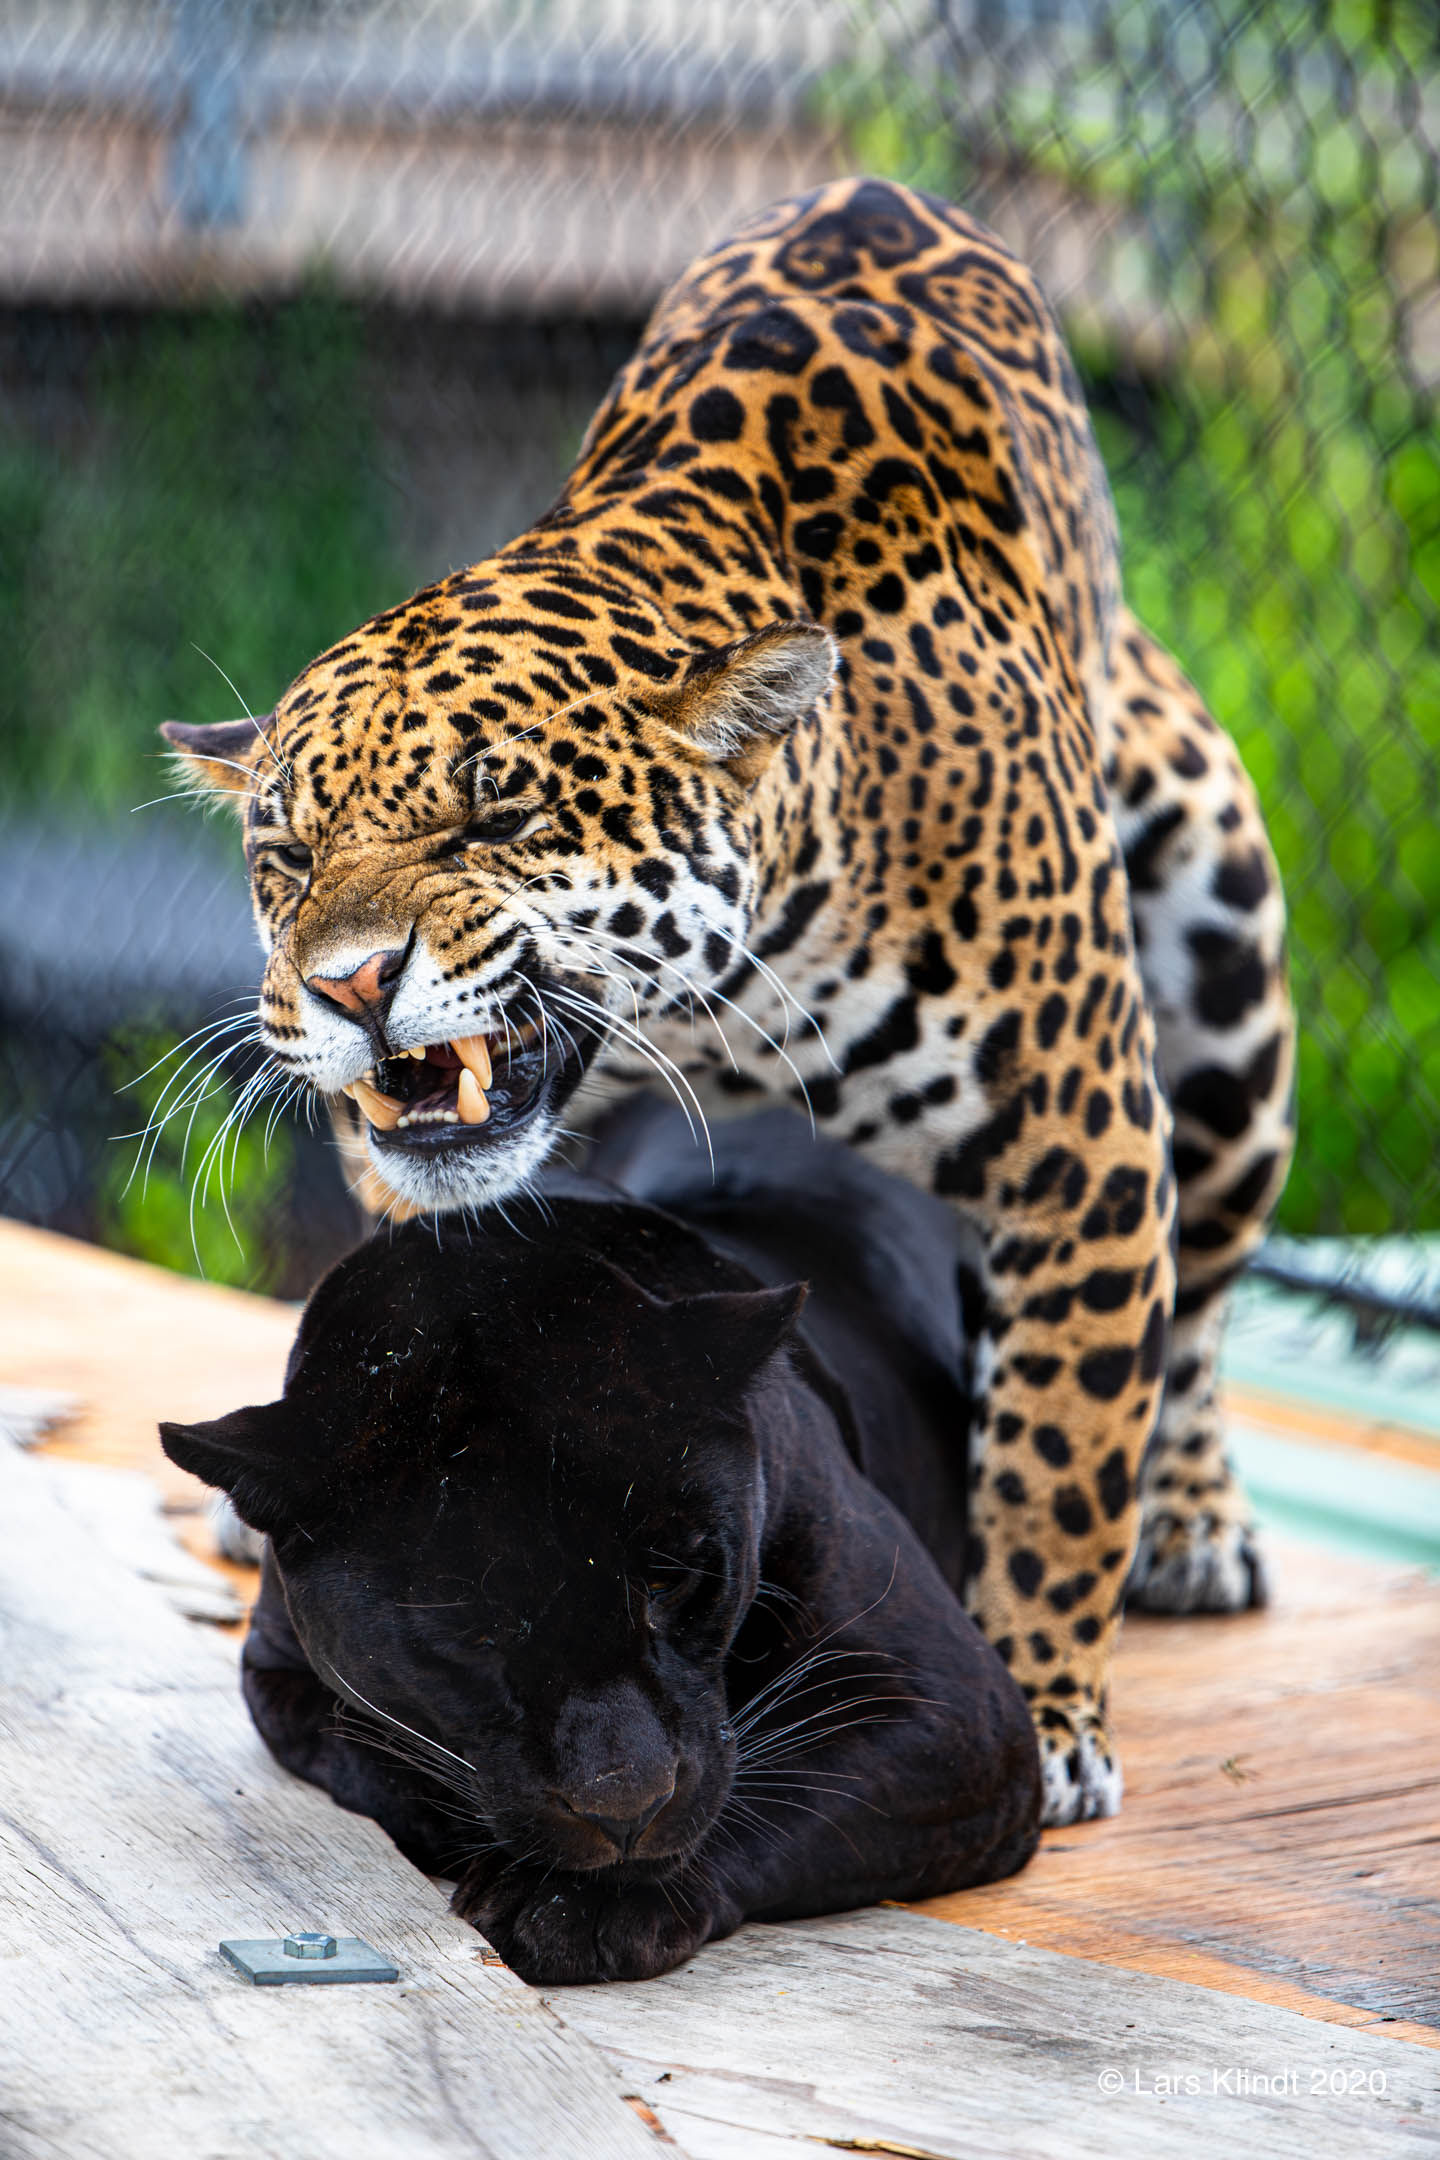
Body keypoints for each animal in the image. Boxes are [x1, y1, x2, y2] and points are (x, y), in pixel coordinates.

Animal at [161, 176, 1296, 1827]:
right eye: (289, 858)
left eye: (494, 817)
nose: (350, 983)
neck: (727, 993)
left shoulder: (1077, 1135)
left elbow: (1064, 1440)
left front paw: (1045, 1704)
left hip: (1225, 958)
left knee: (1198, 1303)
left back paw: (1194, 1522)